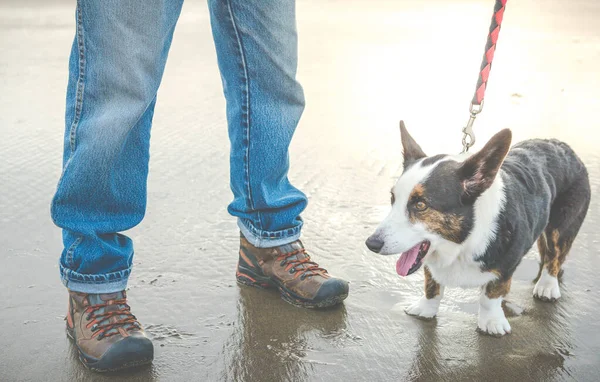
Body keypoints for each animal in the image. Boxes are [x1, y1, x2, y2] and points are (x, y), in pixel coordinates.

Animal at [366, 121, 592, 336]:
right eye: (393, 199)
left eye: (420, 205)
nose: (371, 244)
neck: (462, 242)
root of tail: (563, 146)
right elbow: (432, 286)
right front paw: (425, 309)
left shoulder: (506, 265)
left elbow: (490, 296)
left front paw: (492, 323)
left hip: (560, 228)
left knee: (554, 254)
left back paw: (547, 285)